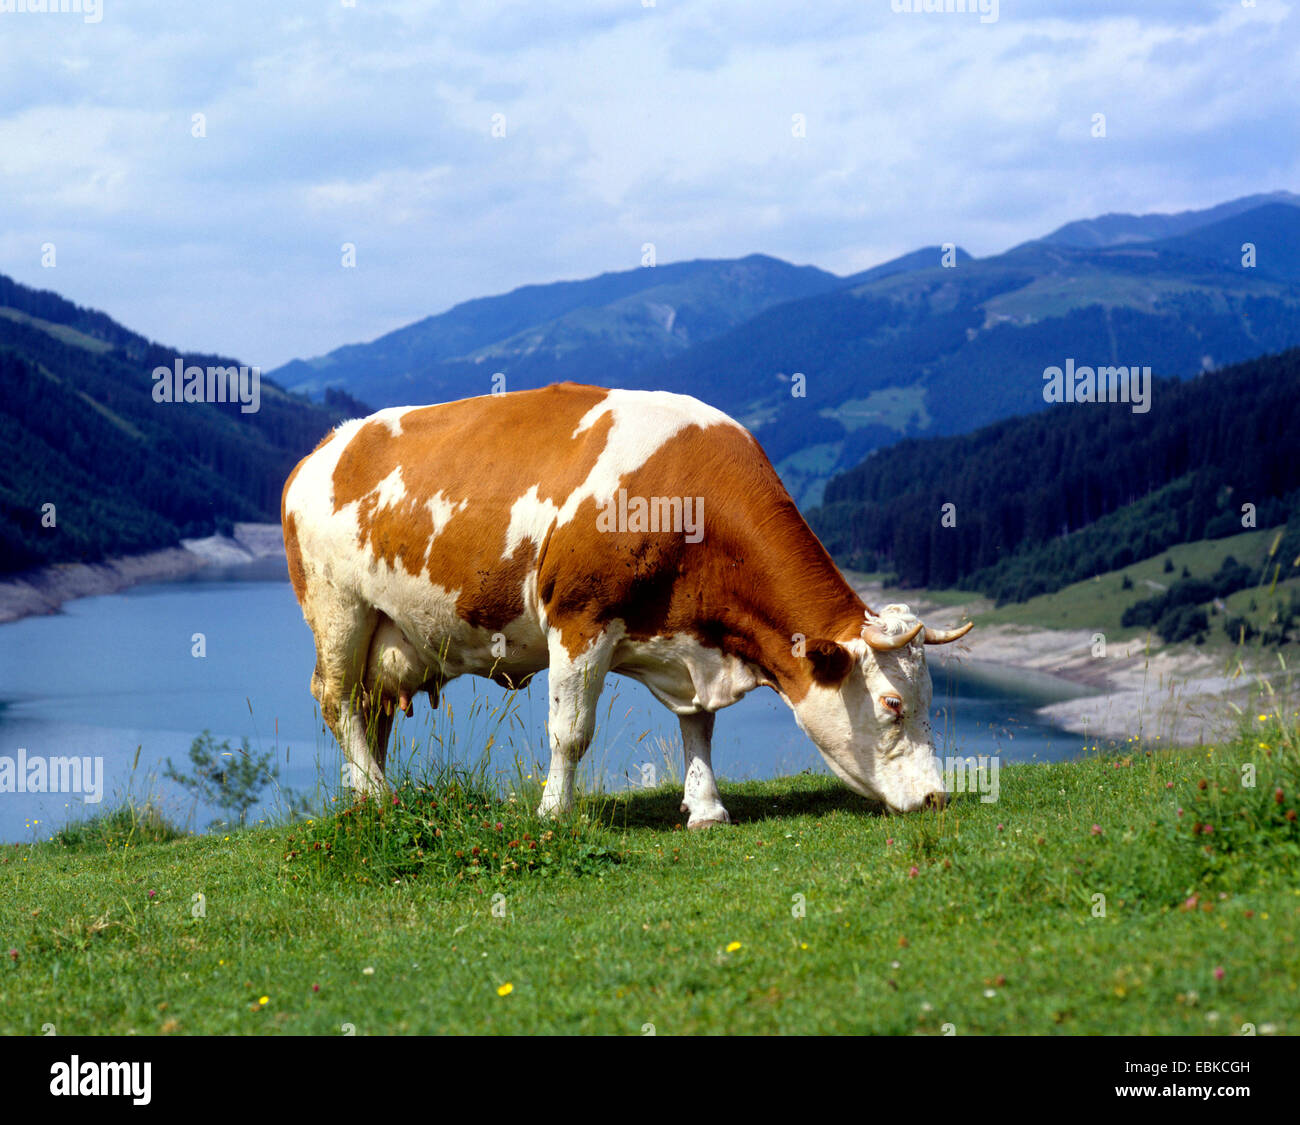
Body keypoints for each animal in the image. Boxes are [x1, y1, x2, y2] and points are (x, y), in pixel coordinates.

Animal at [284, 384, 977, 827]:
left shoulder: (692, 642)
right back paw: (381, 798)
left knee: (370, 710)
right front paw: (554, 812)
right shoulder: (579, 620)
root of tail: (326, 446)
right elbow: (570, 732)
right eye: (892, 705)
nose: (937, 799)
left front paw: (706, 809)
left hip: (386, 632)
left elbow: (700, 725)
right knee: (336, 698)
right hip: (337, 609)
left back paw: (362, 794)